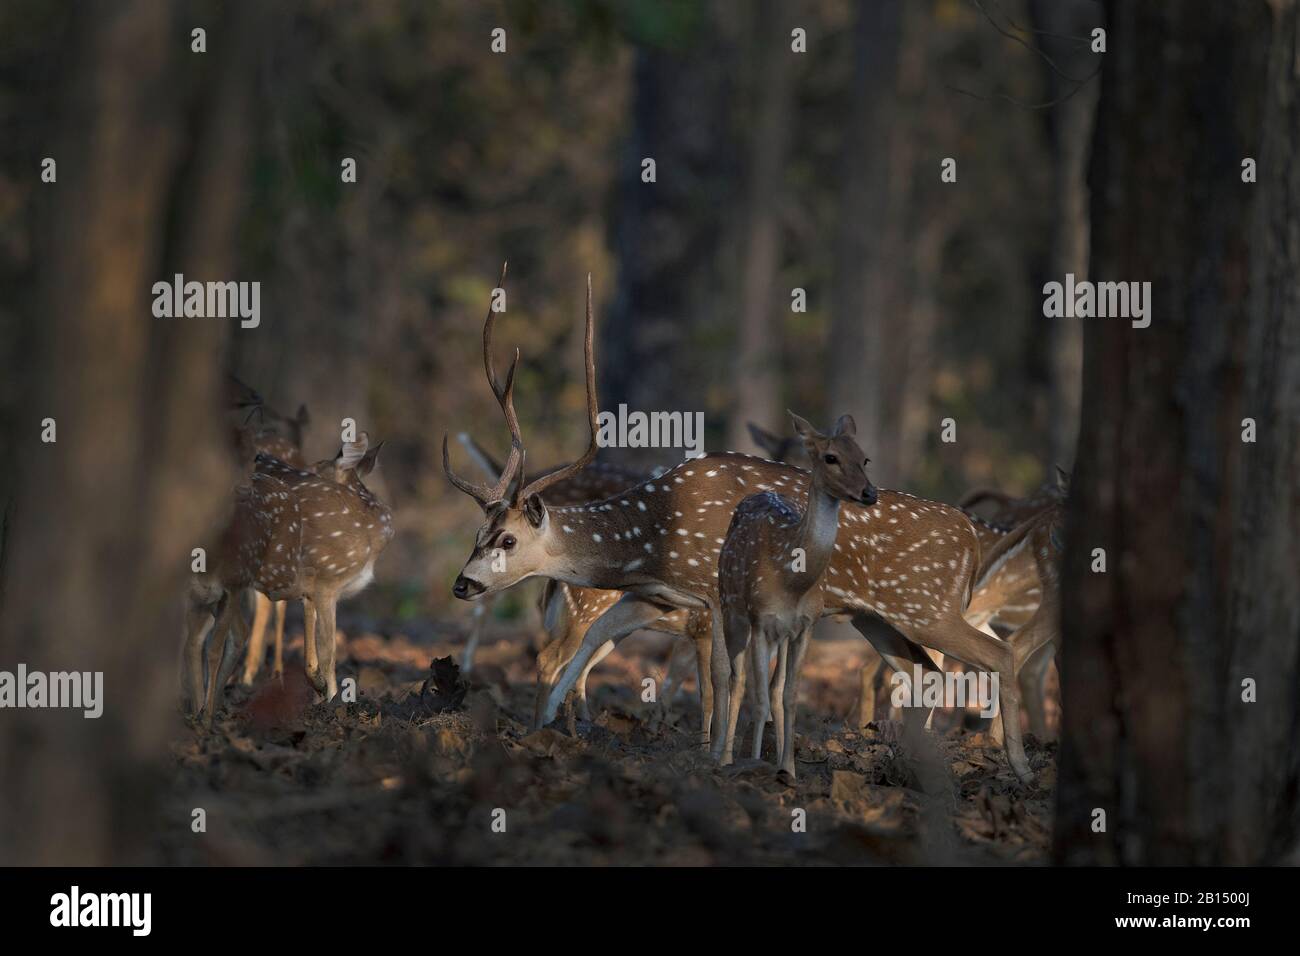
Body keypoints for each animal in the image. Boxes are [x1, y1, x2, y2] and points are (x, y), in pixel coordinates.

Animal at [447, 273, 1034, 780]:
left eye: (507, 538)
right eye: (476, 535)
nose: (462, 583)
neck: (656, 536)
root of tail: (972, 540)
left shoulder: (715, 592)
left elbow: (724, 679)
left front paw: (721, 757)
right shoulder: (660, 595)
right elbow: (607, 642)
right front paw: (547, 728)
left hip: (927, 605)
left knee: (997, 655)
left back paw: (1020, 767)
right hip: (881, 617)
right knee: (923, 673)